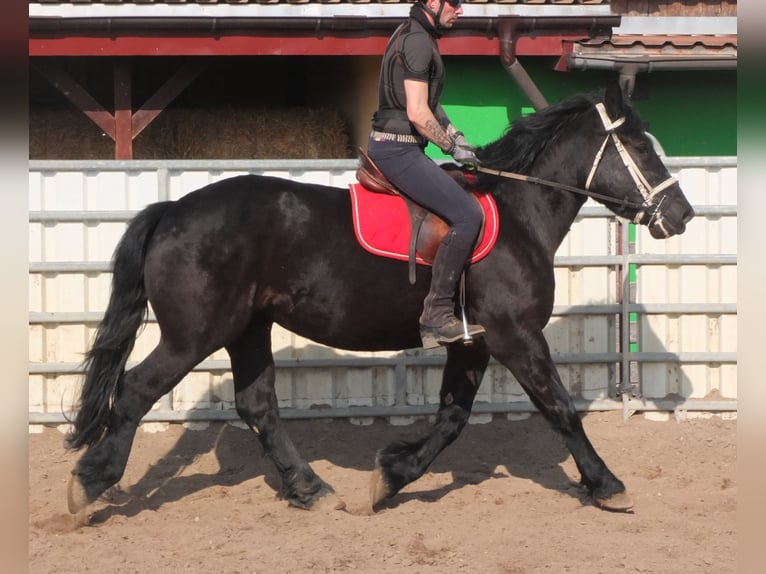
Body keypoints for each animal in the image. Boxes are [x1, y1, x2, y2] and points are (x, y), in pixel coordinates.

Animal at [64, 84, 696, 516]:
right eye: (639, 147)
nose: (682, 215)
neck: (518, 212)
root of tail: (173, 209)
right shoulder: (515, 335)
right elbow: (559, 409)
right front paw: (606, 484)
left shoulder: (472, 342)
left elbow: (452, 419)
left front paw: (390, 476)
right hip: (194, 334)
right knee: (137, 389)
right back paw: (89, 483)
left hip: (247, 329)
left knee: (257, 407)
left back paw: (311, 489)